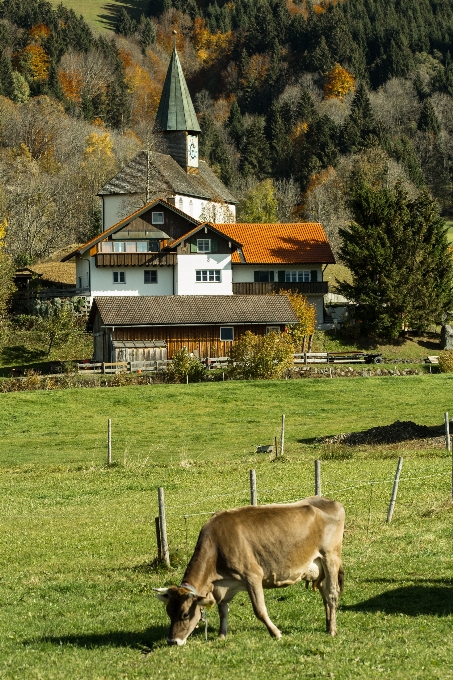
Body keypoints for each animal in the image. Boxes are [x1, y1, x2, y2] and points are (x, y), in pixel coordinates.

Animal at [154, 496, 342, 644]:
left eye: (185, 614)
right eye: (169, 612)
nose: (172, 641)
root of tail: (330, 501)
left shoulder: (252, 575)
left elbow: (259, 610)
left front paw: (276, 633)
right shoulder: (223, 586)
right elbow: (223, 610)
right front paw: (222, 635)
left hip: (330, 557)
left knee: (332, 594)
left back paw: (333, 630)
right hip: (319, 567)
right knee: (325, 594)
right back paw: (327, 626)